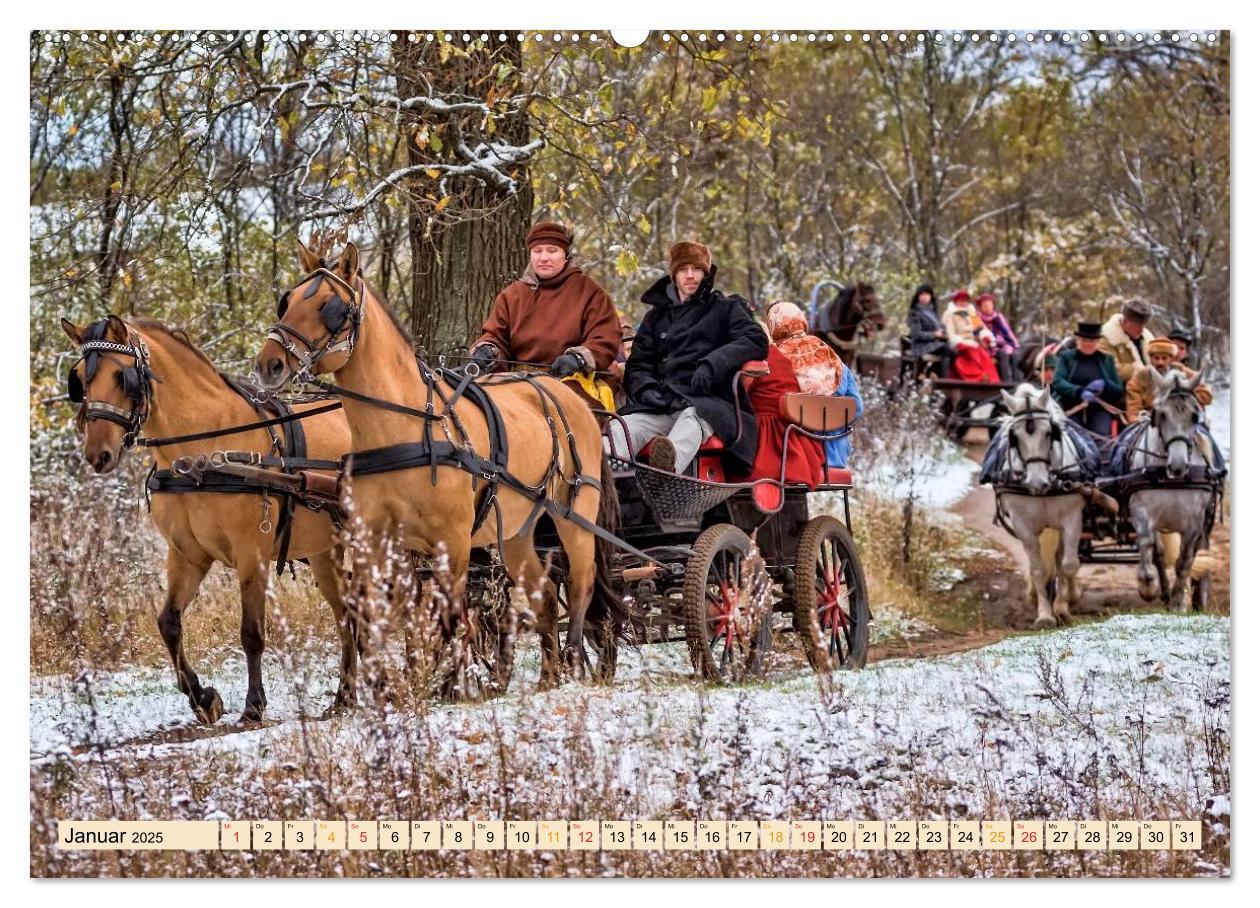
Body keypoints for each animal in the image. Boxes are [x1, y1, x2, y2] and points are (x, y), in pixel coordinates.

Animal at [62, 317, 352, 720]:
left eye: (122, 377)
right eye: (78, 380)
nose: (97, 454)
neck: (199, 454)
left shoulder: (251, 553)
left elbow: (251, 632)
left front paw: (254, 705)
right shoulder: (187, 554)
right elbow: (168, 622)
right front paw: (202, 697)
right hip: (326, 554)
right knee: (347, 614)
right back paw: (345, 696)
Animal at [982, 385, 1093, 629]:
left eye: (1049, 432)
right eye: (1015, 437)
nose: (1037, 482)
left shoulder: (1072, 519)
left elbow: (1068, 564)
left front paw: (1063, 607)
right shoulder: (1023, 525)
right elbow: (1038, 569)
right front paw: (1044, 615)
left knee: (1062, 559)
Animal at [1123, 367, 1219, 609]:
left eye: (1194, 416)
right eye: (1161, 414)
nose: (1177, 466)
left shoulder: (1194, 521)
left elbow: (1184, 560)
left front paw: (1178, 601)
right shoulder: (1141, 510)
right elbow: (1148, 544)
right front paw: (1147, 585)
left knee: (1196, 551)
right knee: (1158, 553)